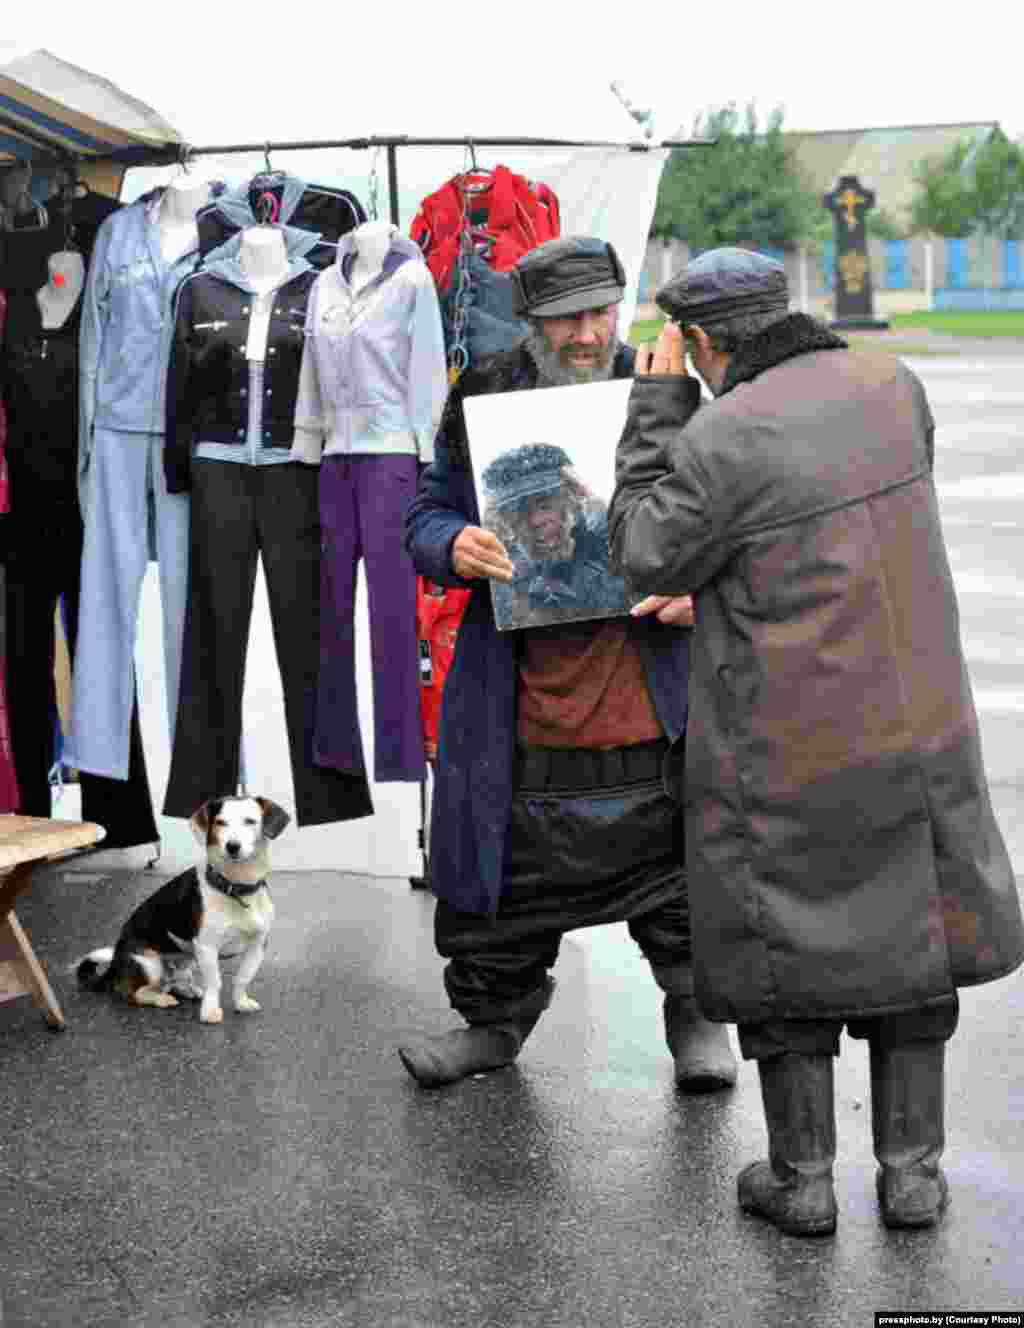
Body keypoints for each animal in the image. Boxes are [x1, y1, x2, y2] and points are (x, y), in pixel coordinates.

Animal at [77, 796, 288, 1025]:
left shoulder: (257, 945)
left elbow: (243, 978)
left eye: (250, 821)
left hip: (188, 959)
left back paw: (189, 990)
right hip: (150, 963)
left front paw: (241, 1002)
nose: (232, 846)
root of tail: (115, 962)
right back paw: (161, 999)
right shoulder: (207, 947)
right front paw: (210, 1011)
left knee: (174, 981)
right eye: (220, 823)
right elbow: (215, 982)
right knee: (134, 993)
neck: (235, 887)